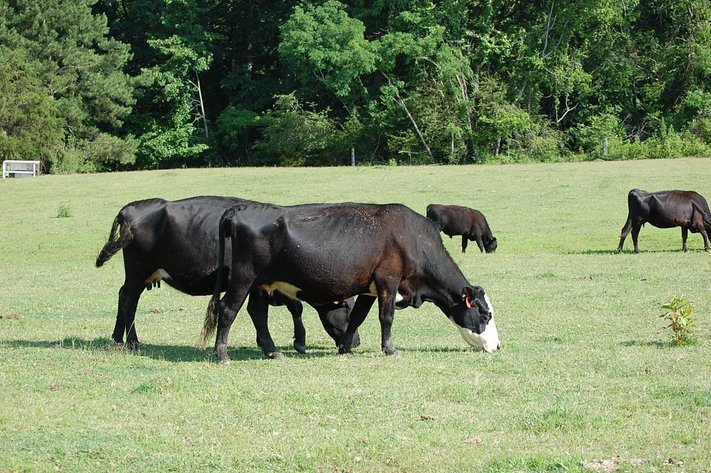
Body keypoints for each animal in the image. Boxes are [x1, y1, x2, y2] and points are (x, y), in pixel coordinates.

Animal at [95, 196, 359, 355]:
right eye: (346, 306)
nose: (356, 341)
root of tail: (132, 208)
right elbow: (288, 308)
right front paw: (295, 342)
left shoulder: (263, 286)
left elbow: (271, 310)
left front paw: (271, 344)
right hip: (138, 272)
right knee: (129, 300)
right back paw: (132, 341)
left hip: (139, 275)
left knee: (122, 295)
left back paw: (117, 338)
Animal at [201, 202, 500, 364]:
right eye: (486, 314)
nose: (497, 346)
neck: (412, 238)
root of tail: (243, 209)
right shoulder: (388, 281)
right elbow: (386, 317)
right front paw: (390, 349)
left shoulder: (369, 288)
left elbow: (357, 317)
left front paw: (344, 347)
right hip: (244, 279)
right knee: (228, 310)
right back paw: (222, 354)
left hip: (261, 285)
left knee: (257, 313)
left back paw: (273, 351)